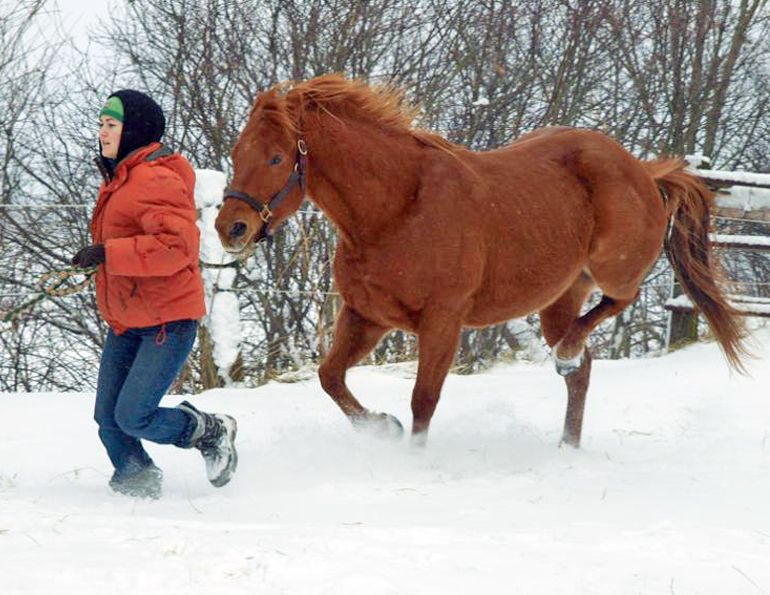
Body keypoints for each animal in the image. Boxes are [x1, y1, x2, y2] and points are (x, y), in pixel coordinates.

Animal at [215, 74, 746, 447]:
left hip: (612, 268)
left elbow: (423, 400)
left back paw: (565, 358)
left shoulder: (442, 321)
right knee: (583, 370)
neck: (397, 210)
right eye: (238, 152)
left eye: (277, 158)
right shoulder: (367, 315)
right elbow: (330, 378)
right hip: (559, 298)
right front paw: (382, 427)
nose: (230, 227)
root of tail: (643, 170)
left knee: (619, 302)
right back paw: (566, 444)